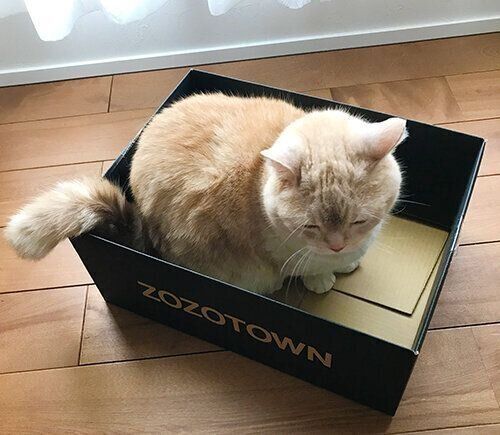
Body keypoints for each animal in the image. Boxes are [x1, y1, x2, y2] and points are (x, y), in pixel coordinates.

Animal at [5, 93, 406, 295]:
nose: (338, 246)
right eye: (311, 227)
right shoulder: (283, 256)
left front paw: (347, 263)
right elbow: (307, 270)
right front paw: (322, 278)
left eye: (359, 220)